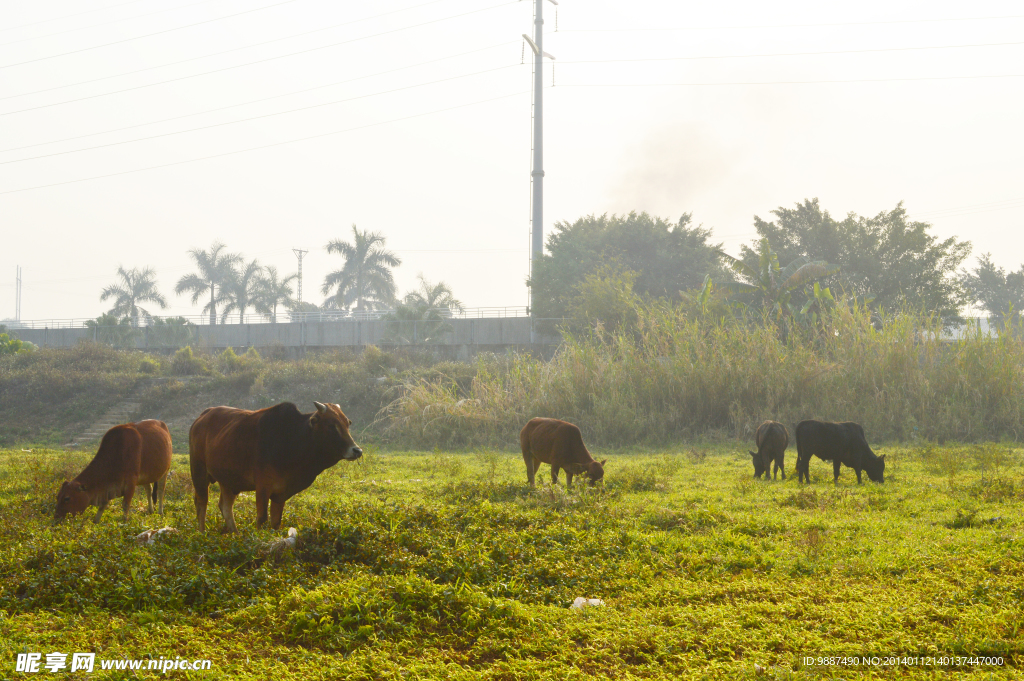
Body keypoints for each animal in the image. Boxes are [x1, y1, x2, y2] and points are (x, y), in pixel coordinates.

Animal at [190, 399, 362, 532]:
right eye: (332, 425)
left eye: (348, 423)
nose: (357, 450)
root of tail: (203, 415)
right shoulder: (263, 487)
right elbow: (262, 519)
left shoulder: (280, 494)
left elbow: (275, 522)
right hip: (199, 472)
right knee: (201, 503)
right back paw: (202, 533)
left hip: (228, 481)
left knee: (225, 507)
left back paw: (235, 534)